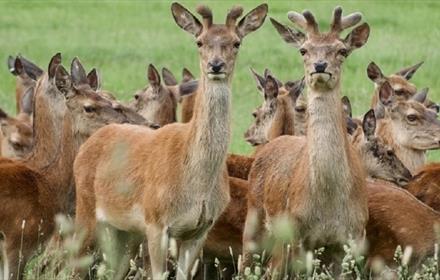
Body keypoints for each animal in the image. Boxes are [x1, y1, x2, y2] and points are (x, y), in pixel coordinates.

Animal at [72, 3, 268, 278]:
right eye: (200, 41)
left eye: (236, 42)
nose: (216, 65)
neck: (196, 183)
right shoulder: (156, 221)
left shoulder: (200, 229)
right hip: (86, 208)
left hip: (125, 231)